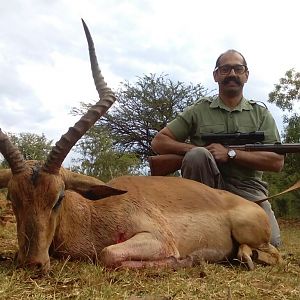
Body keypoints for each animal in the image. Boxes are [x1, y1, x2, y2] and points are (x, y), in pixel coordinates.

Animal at [0, 19, 282, 274]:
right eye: (12, 197)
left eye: (58, 197)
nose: (32, 263)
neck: (92, 212)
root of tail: (252, 205)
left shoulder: (157, 239)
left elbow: (107, 254)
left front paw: (185, 260)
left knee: (272, 253)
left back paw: (243, 257)